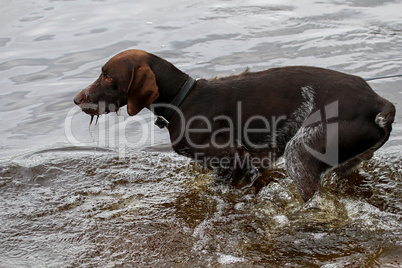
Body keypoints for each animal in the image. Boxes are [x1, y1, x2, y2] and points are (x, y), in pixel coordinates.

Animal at [74, 49, 394, 201]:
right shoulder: (252, 163)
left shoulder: (235, 159)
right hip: (345, 163)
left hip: (300, 154)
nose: (77, 99)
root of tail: (378, 102)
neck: (183, 99)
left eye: (107, 76)